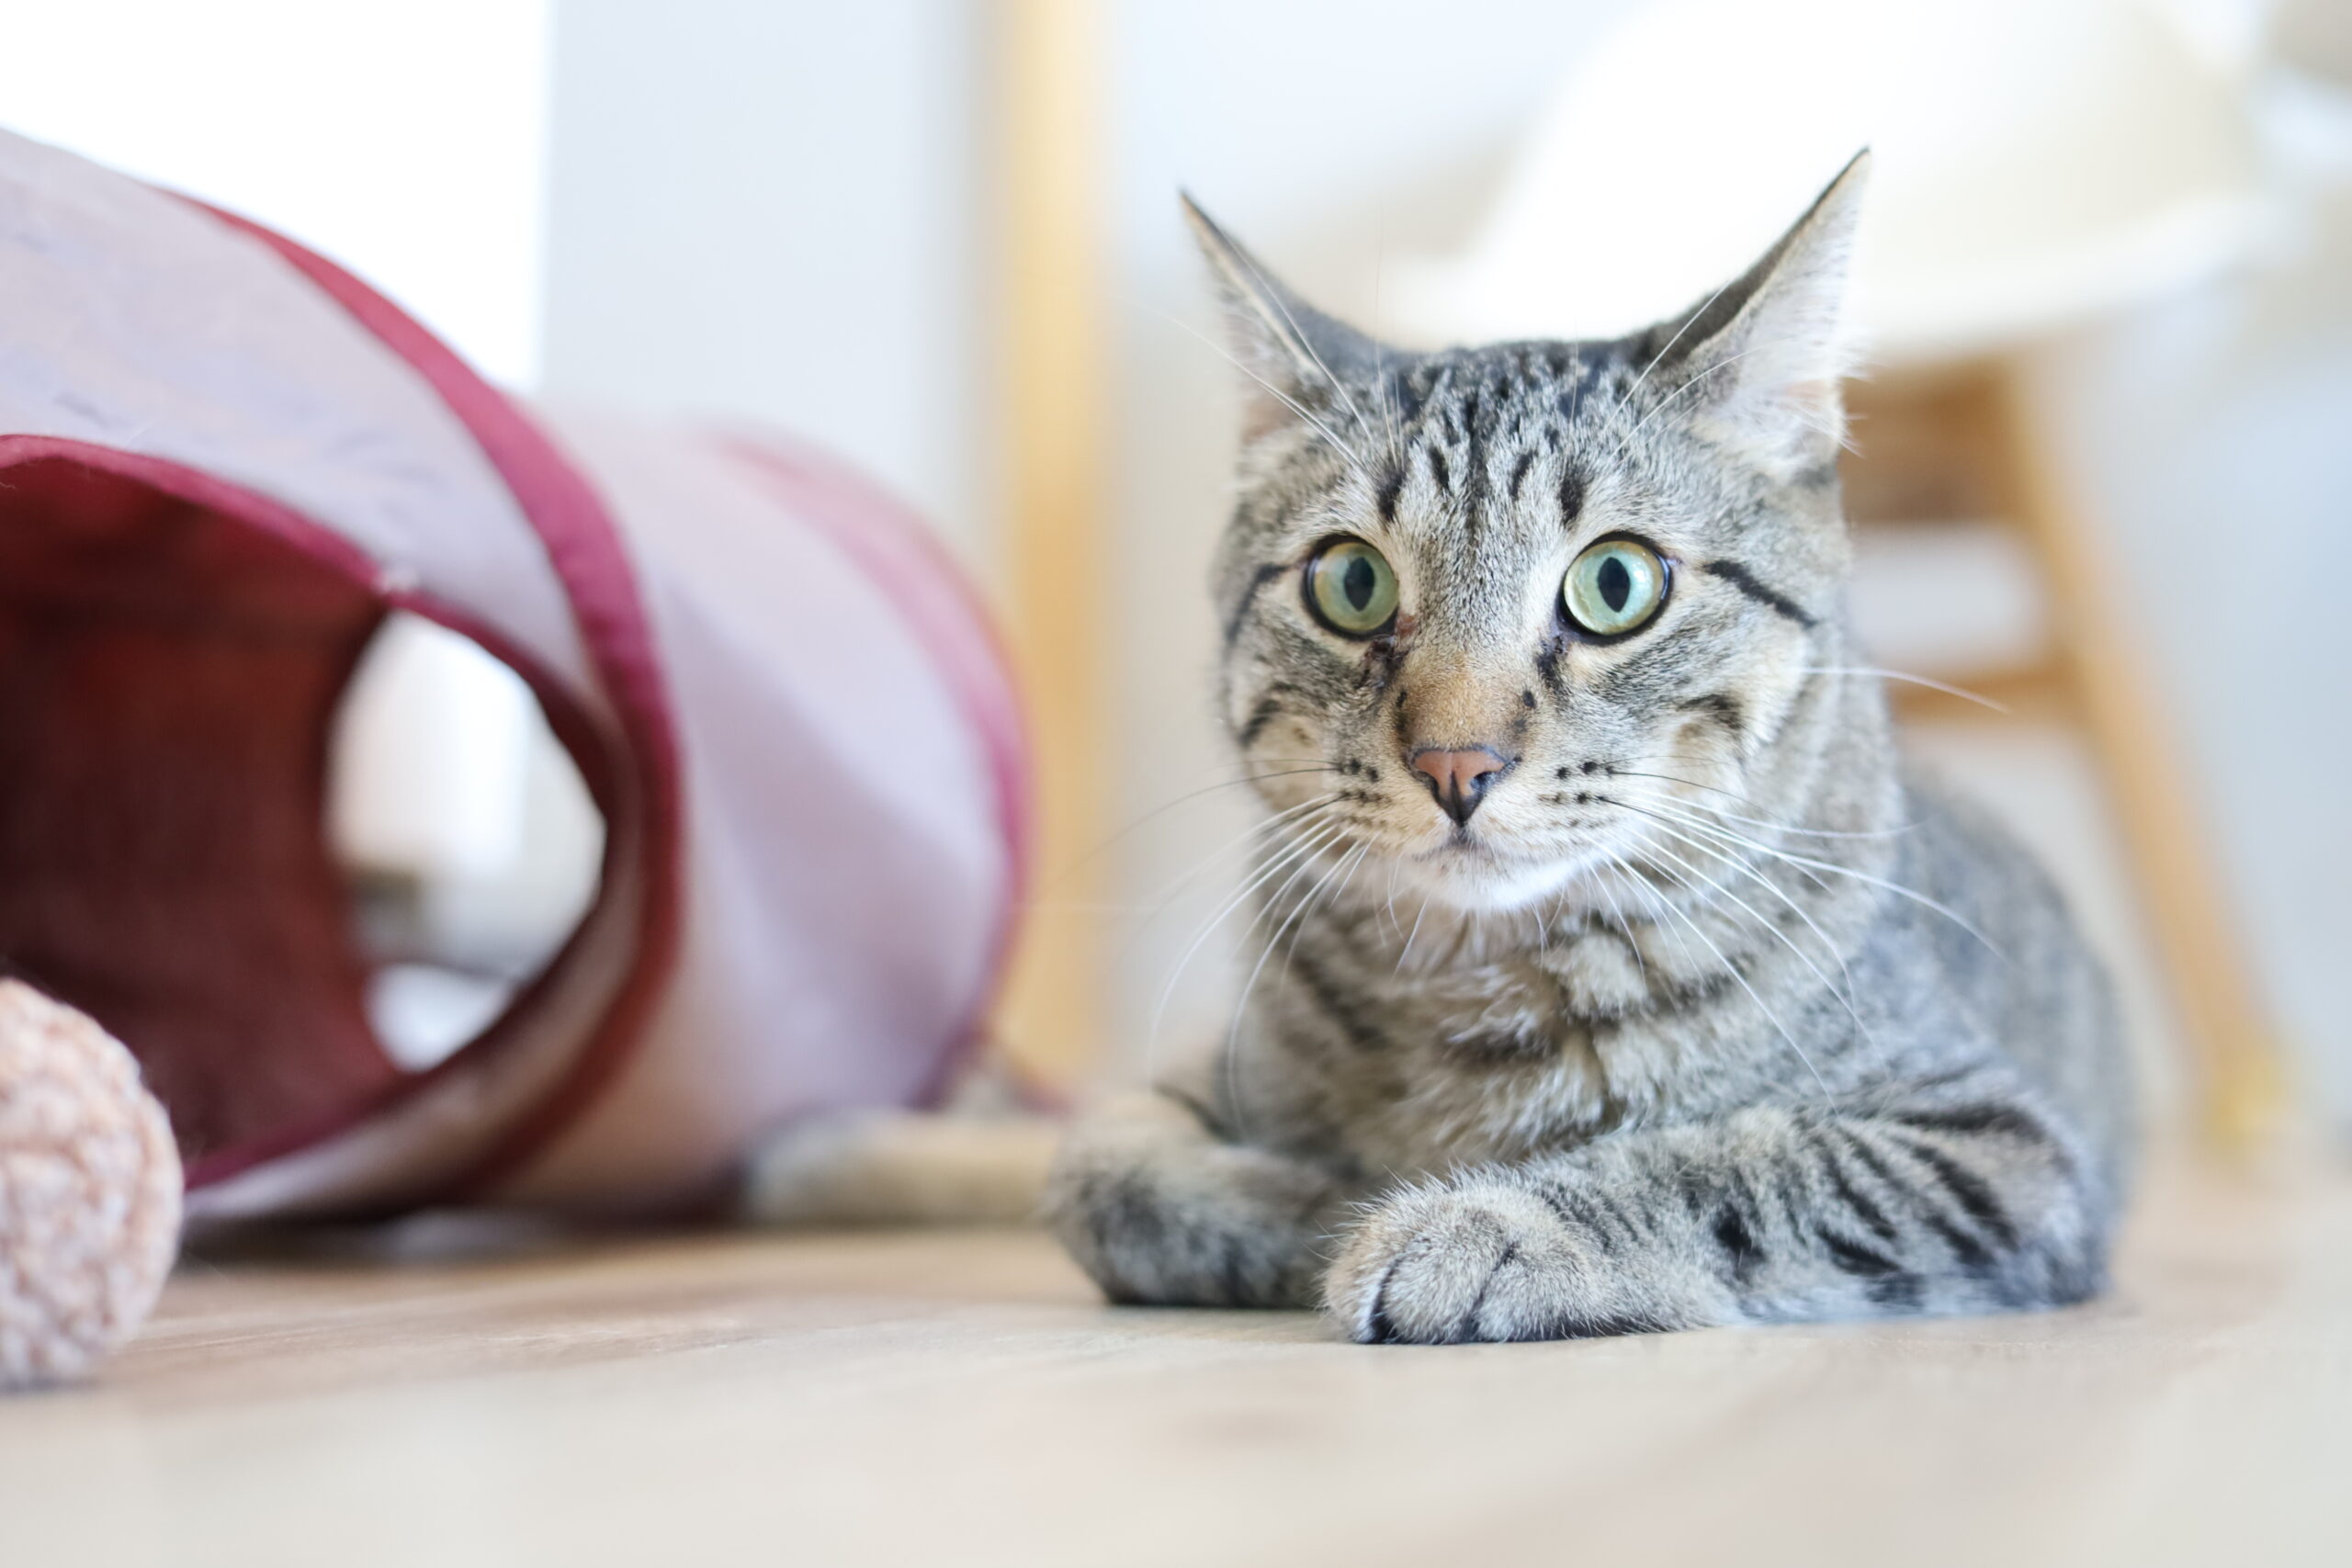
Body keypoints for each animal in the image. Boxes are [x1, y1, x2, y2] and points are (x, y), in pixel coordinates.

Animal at [1048, 160, 2135, 1354]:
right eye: (1352, 583)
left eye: (1615, 584)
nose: (1456, 764)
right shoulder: (1193, 1080)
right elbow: (1093, 1172)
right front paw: (1315, 1207)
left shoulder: (1999, 1150)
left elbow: (1734, 1168)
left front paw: (1473, 1222)